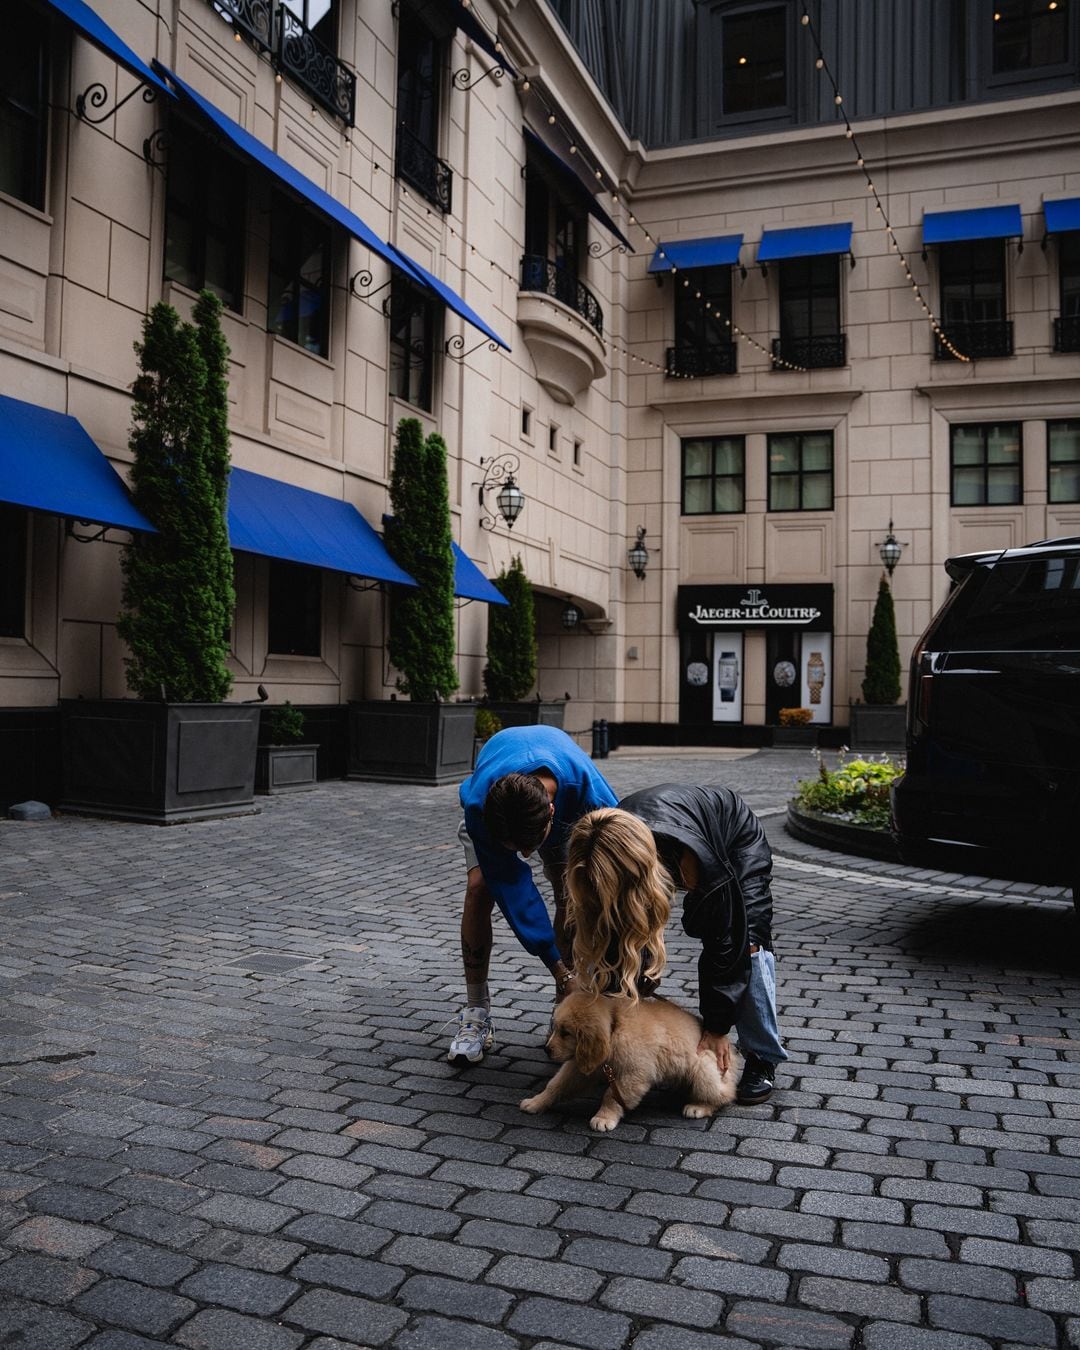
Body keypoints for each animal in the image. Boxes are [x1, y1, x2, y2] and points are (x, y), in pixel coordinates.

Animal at [515, 993, 739, 1128]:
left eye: (565, 1033)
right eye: (555, 1028)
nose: (546, 1049)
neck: (615, 1029)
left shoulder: (633, 1073)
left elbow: (611, 1096)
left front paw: (604, 1117)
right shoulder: (581, 1066)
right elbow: (556, 1085)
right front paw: (537, 1102)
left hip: (703, 1067)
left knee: (725, 1094)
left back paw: (700, 1106)